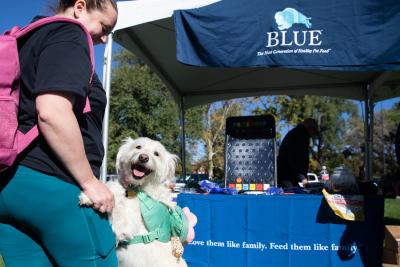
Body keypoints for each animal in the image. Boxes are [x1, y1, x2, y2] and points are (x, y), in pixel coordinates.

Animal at [83, 138, 197, 267]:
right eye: (138, 147)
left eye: (156, 154)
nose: (143, 157)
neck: (136, 188)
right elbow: (114, 188)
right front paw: (89, 194)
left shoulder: (126, 226)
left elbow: (117, 205)